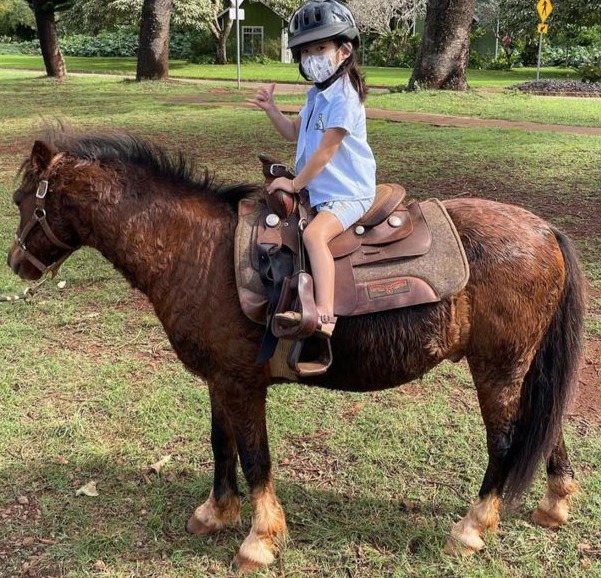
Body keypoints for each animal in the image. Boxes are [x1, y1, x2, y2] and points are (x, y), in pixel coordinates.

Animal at [7, 129, 584, 568]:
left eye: (20, 201)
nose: (16, 264)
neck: (196, 249)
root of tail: (543, 228)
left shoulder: (243, 384)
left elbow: (255, 458)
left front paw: (258, 540)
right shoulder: (221, 379)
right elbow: (222, 445)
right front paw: (216, 513)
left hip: (497, 367)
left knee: (505, 441)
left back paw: (473, 527)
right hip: (522, 366)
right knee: (543, 424)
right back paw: (554, 505)